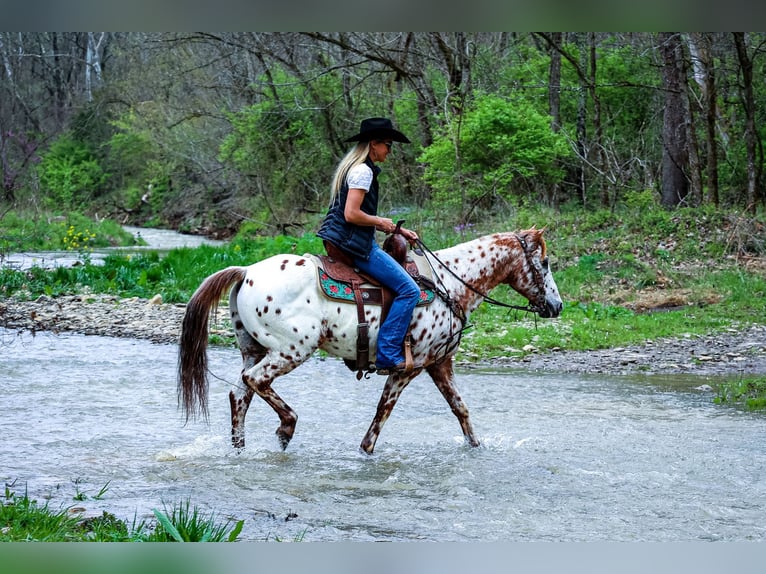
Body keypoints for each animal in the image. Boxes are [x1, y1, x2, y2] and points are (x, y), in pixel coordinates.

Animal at [178, 227, 564, 456]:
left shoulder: (440, 364)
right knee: (255, 381)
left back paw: (239, 450)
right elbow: (382, 413)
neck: (451, 285)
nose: (557, 306)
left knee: (239, 394)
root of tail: (246, 272)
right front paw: (365, 452)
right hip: (291, 350)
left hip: (254, 349)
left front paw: (476, 448)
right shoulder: (407, 368)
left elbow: (461, 409)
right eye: (544, 263)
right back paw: (287, 427)